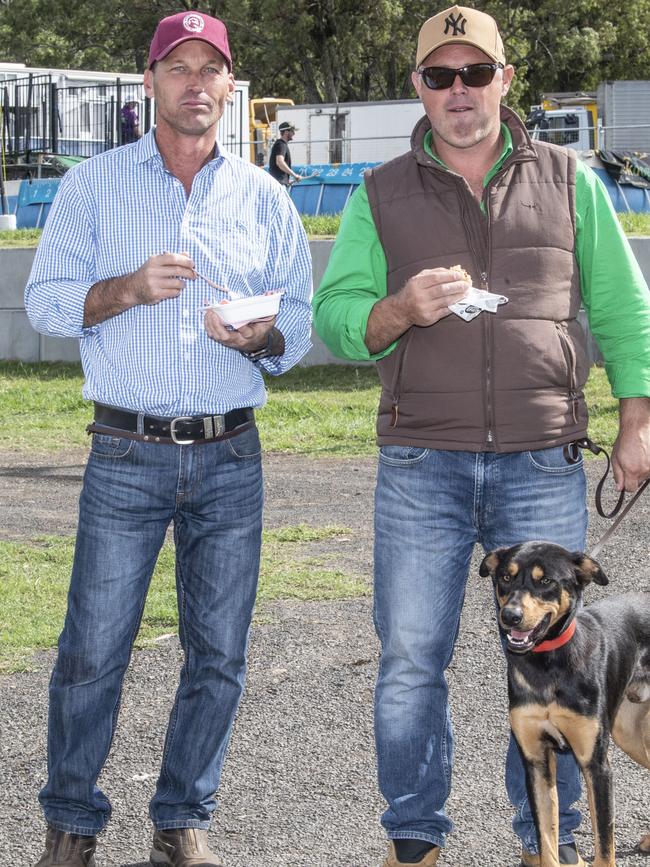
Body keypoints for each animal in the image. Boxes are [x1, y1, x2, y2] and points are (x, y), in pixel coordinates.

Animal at [476, 544, 648, 867]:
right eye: (505, 577)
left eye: (545, 581)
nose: (510, 616)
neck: (547, 664)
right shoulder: (537, 761)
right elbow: (546, 840)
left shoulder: (596, 765)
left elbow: (604, 844)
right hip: (628, 732)